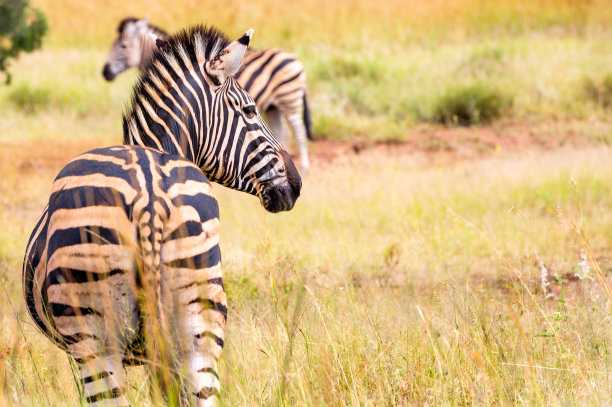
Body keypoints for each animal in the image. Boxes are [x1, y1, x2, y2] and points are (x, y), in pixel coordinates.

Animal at [103, 16, 314, 173]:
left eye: (123, 46)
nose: (105, 72)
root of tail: (297, 61)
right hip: (274, 107)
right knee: (283, 132)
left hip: (289, 100)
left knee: (299, 131)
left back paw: (304, 168)